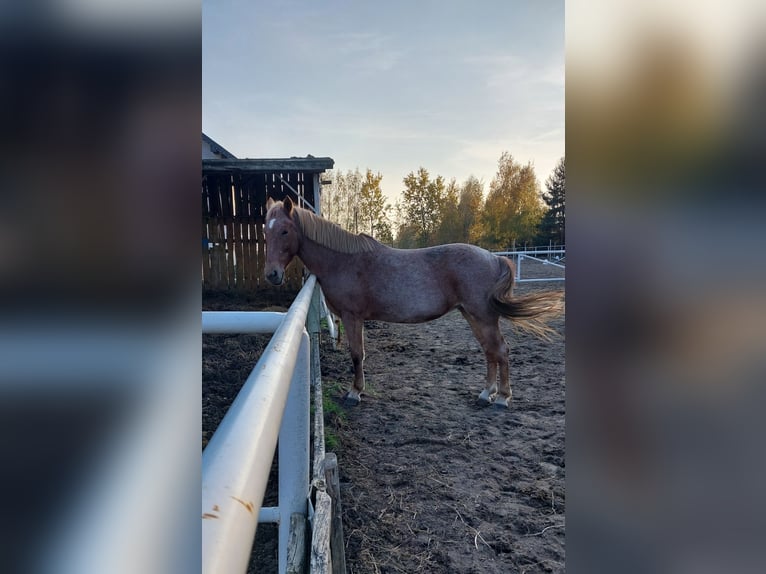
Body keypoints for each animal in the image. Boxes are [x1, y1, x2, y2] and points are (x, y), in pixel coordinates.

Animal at [264, 198, 564, 410]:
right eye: (266, 231)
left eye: (285, 231)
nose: (272, 275)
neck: (343, 261)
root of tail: (495, 258)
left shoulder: (352, 316)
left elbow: (357, 354)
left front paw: (354, 392)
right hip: (472, 315)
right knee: (490, 351)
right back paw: (485, 394)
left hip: (483, 316)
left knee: (500, 350)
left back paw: (502, 397)